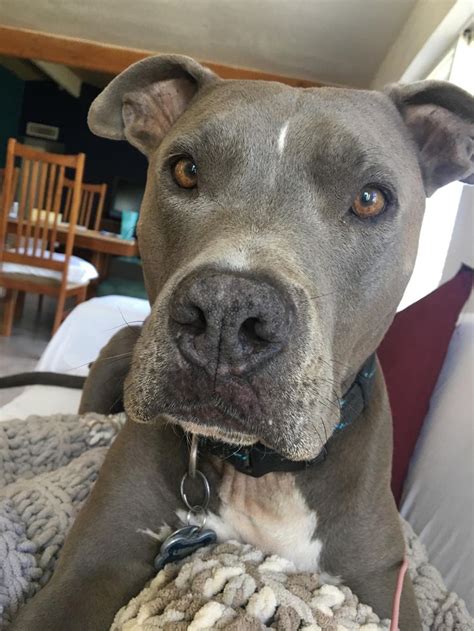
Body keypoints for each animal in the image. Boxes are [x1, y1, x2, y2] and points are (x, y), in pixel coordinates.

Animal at [11, 55, 474, 630]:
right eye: (185, 170)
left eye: (370, 199)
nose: (226, 313)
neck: (258, 474)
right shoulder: (91, 564)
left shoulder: (383, 586)